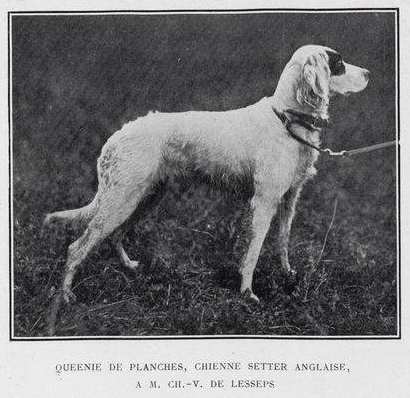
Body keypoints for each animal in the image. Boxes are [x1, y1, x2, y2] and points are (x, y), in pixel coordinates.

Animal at [44, 45, 368, 304]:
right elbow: (253, 252)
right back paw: (66, 295)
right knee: (77, 247)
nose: (368, 72)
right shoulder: (264, 203)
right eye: (338, 63)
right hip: (122, 200)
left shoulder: (289, 199)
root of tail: (115, 138)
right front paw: (247, 293)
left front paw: (287, 275)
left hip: (144, 198)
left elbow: (283, 242)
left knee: (115, 237)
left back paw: (129, 267)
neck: (286, 119)